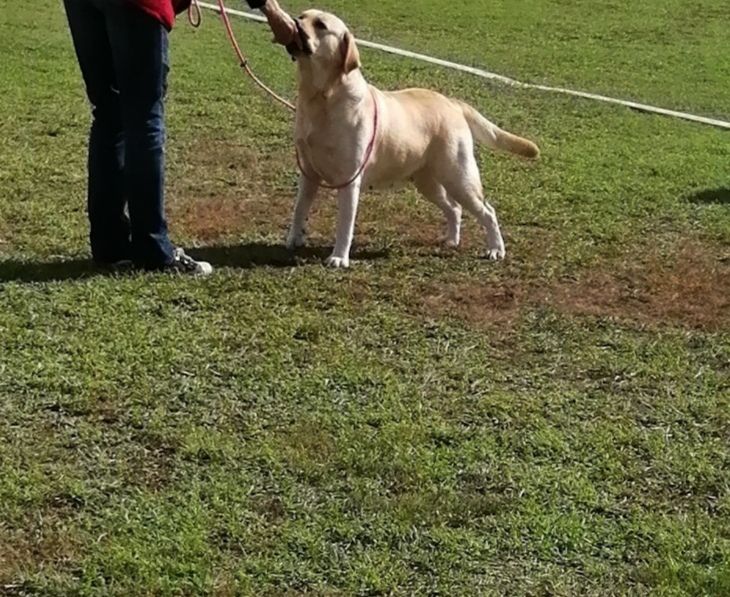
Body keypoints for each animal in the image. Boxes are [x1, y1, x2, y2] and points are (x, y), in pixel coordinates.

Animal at [284, 10, 536, 266]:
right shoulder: (308, 173)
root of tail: (453, 103)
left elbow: (345, 224)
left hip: (459, 178)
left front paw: (339, 257)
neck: (321, 97)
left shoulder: (349, 179)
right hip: (429, 182)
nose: (294, 22)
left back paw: (496, 249)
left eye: (320, 25)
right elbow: (299, 209)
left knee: (487, 211)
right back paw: (451, 240)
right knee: (454, 208)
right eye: (303, 15)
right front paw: (294, 239)